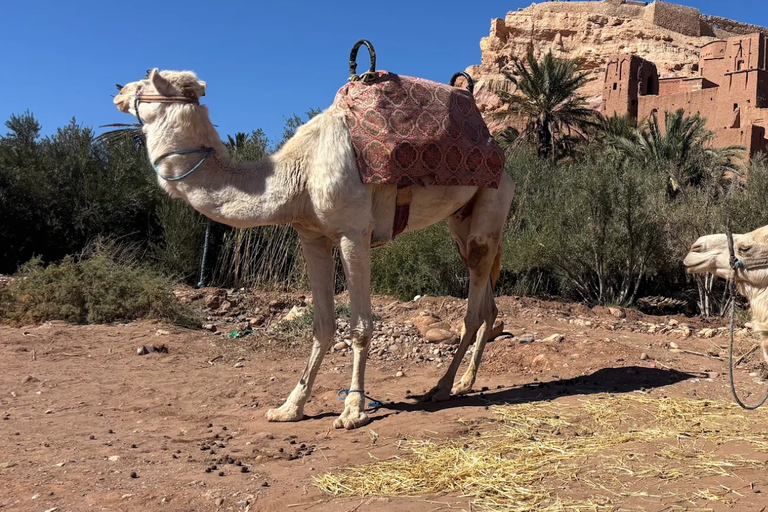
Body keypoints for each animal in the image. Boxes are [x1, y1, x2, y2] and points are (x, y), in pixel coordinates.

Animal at [112, 68, 515, 429]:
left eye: (145, 83)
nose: (118, 92)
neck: (299, 172)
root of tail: (502, 156)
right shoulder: (312, 236)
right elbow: (322, 324)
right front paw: (290, 407)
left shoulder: (354, 233)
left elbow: (360, 327)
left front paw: (352, 411)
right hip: (460, 221)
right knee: (488, 301)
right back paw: (464, 382)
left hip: (491, 202)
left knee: (473, 308)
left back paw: (443, 387)